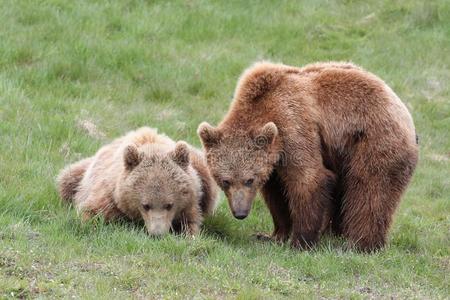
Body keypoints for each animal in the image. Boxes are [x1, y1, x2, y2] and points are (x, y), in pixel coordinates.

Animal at [57, 126, 219, 234]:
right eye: (145, 205)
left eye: (169, 205)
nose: (157, 233)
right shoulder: (109, 196)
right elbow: (91, 211)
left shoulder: (190, 203)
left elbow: (191, 222)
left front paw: (188, 233)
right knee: (66, 181)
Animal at [198, 60, 418, 251]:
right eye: (225, 181)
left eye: (249, 180)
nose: (240, 213)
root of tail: (405, 114)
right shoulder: (274, 159)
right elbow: (277, 193)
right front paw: (273, 234)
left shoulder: (293, 125)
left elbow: (308, 180)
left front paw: (300, 241)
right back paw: (334, 234)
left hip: (374, 140)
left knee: (370, 189)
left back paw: (360, 244)